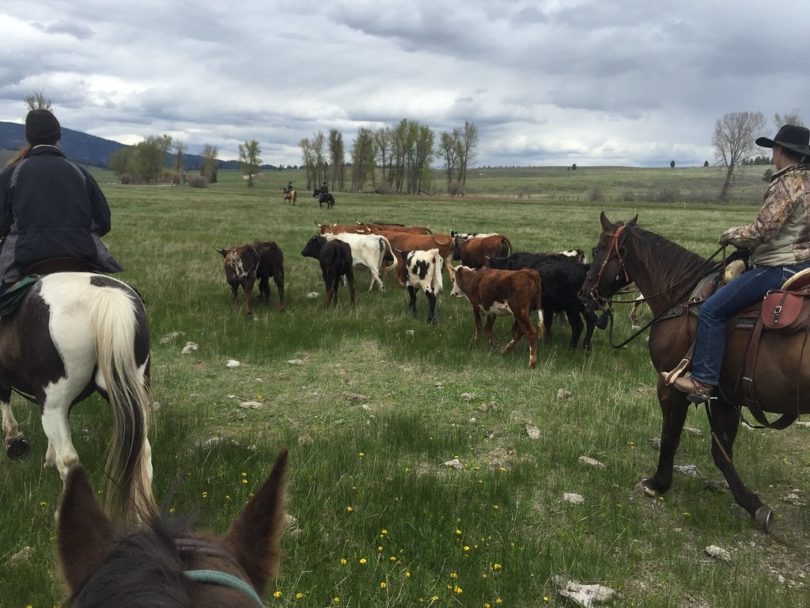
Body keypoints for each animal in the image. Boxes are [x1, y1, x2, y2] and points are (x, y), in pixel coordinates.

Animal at [579, 212, 808, 531]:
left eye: (598, 249)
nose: (585, 294)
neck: (681, 296)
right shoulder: (725, 397)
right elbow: (722, 452)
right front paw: (753, 504)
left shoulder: (670, 384)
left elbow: (671, 436)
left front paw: (658, 484)